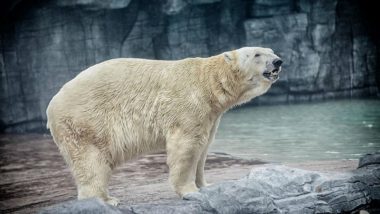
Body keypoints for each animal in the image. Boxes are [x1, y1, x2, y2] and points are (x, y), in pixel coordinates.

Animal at [45, 47, 282, 206]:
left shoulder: (211, 116)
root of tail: (52, 104)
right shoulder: (188, 104)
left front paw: (206, 186)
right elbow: (187, 147)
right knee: (91, 160)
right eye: (257, 54)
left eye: (270, 51)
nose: (278, 61)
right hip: (86, 121)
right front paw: (190, 191)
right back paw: (105, 200)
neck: (208, 83)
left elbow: (203, 148)